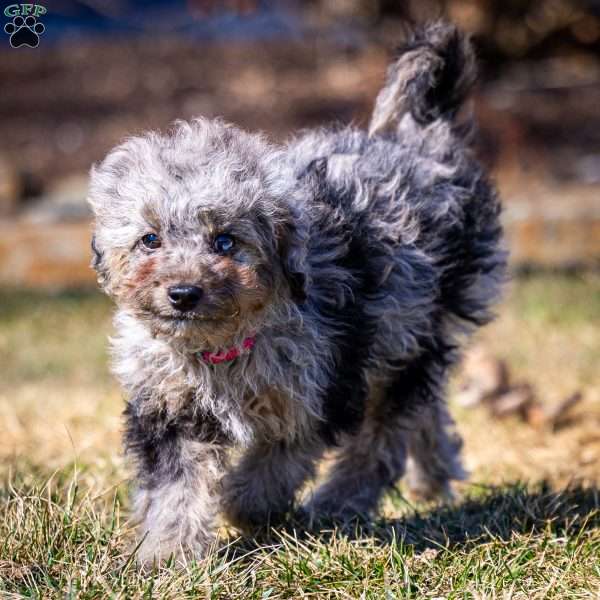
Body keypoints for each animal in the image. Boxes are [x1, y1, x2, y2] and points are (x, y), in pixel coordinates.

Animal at [85, 23, 506, 564]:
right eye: (150, 239)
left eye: (226, 241)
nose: (183, 293)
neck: (224, 347)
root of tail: (424, 142)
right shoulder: (167, 407)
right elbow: (175, 489)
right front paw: (169, 554)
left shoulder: (322, 385)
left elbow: (280, 458)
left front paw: (244, 504)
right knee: (421, 408)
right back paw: (433, 473)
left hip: (407, 328)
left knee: (383, 436)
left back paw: (338, 502)